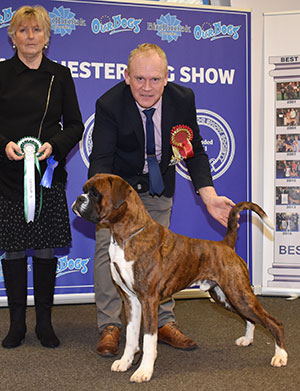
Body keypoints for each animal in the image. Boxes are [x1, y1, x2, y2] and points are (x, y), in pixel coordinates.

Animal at [72, 174, 288, 382]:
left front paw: (144, 371)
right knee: (250, 318)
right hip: (226, 297)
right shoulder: (131, 300)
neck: (125, 236)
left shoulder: (149, 300)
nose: (78, 198)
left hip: (239, 294)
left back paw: (280, 356)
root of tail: (226, 244)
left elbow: (149, 339)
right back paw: (247, 340)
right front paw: (125, 362)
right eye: (85, 191)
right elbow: (132, 336)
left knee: (273, 322)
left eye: (95, 193)